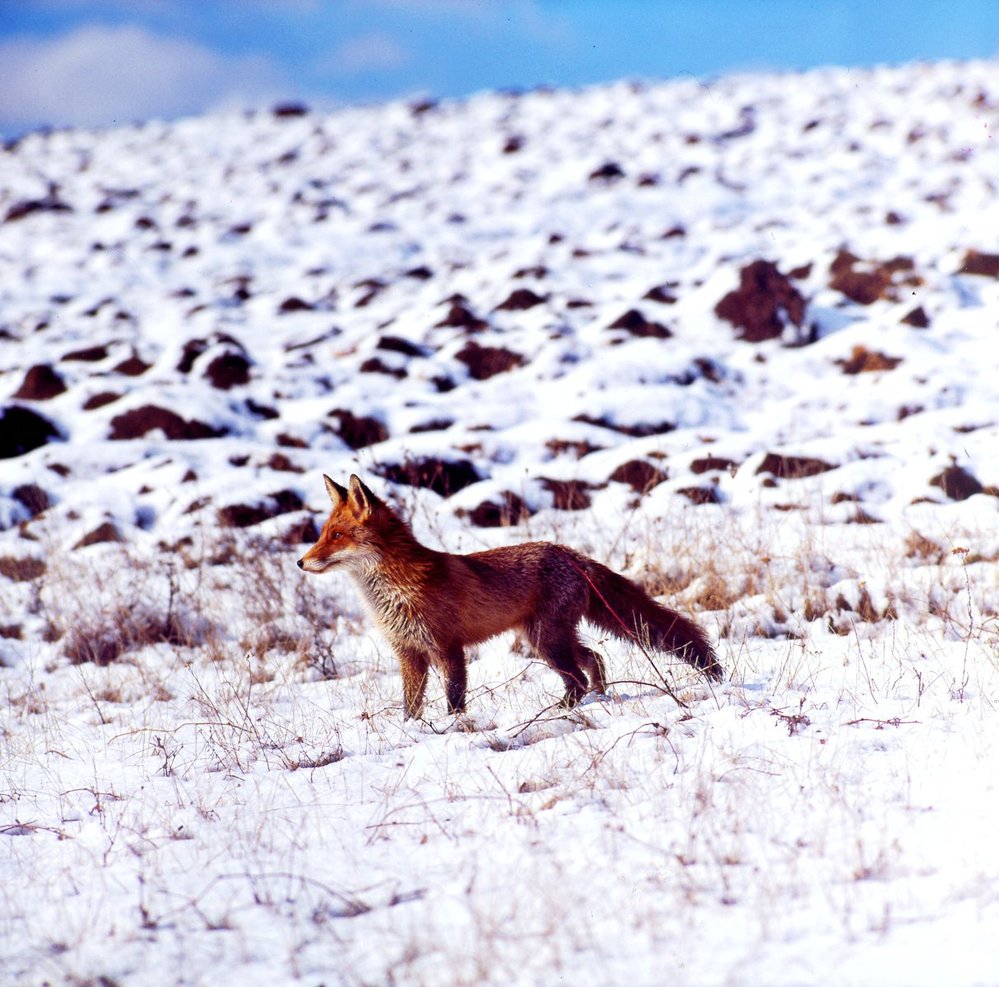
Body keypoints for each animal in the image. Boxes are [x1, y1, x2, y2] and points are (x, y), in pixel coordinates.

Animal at [296, 474, 720, 712]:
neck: (395, 595)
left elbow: (454, 700)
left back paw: (563, 709)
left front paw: (454, 729)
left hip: (545, 640)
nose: (300, 562)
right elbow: (410, 706)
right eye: (322, 534)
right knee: (593, 658)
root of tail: (567, 552)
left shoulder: (448, 649)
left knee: (577, 678)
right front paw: (412, 732)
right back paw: (599, 697)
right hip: (549, 637)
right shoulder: (409, 654)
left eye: (337, 536)